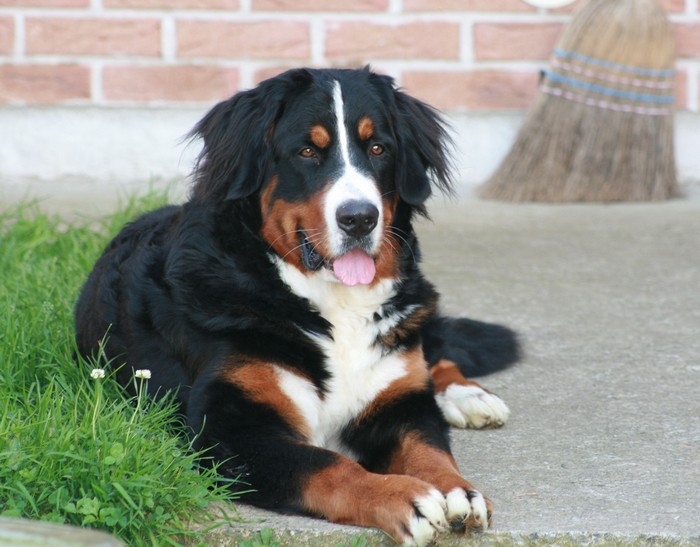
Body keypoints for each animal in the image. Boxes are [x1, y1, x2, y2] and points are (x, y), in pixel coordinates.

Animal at [74, 67, 519, 546]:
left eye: (378, 148)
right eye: (307, 151)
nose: (360, 218)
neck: (332, 303)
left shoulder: (399, 402)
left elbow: (429, 449)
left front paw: (457, 491)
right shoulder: (232, 426)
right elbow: (330, 466)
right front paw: (407, 497)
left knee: (434, 352)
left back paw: (470, 395)